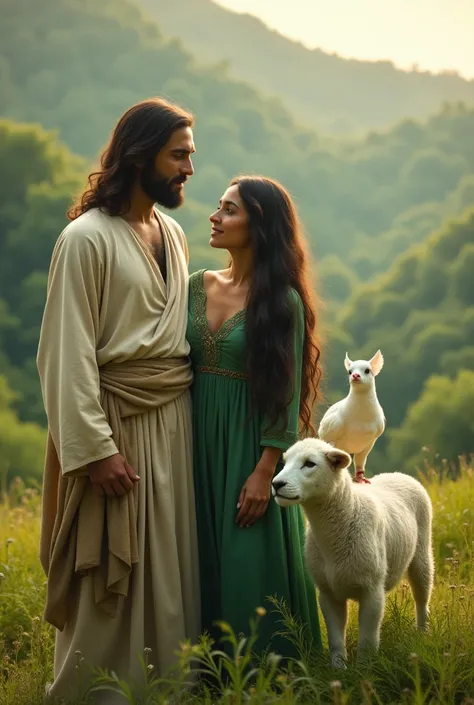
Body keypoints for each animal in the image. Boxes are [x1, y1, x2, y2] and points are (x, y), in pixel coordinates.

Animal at [272, 438, 436, 668]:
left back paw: (422, 635)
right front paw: (338, 668)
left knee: (422, 599)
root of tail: (397, 474)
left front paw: (364, 669)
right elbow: (335, 638)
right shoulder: (328, 592)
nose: (276, 484)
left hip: (422, 554)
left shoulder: (372, 590)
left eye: (310, 463)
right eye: (285, 462)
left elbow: (367, 639)